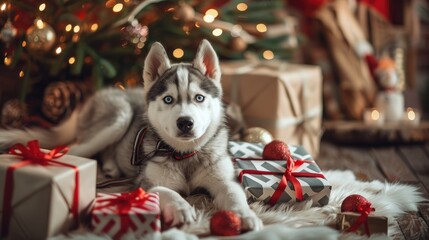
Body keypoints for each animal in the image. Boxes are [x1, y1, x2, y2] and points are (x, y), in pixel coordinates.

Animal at [0, 40, 260, 231]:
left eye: (199, 98)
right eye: (168, 99)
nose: (185, 122)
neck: (184, 155)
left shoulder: (224, 179)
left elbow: (233, 193)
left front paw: (245, 215)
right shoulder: (146, 184)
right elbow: (166, 191)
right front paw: (181, 207)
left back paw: (111, 166)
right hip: (118, 118)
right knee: (76, 149)